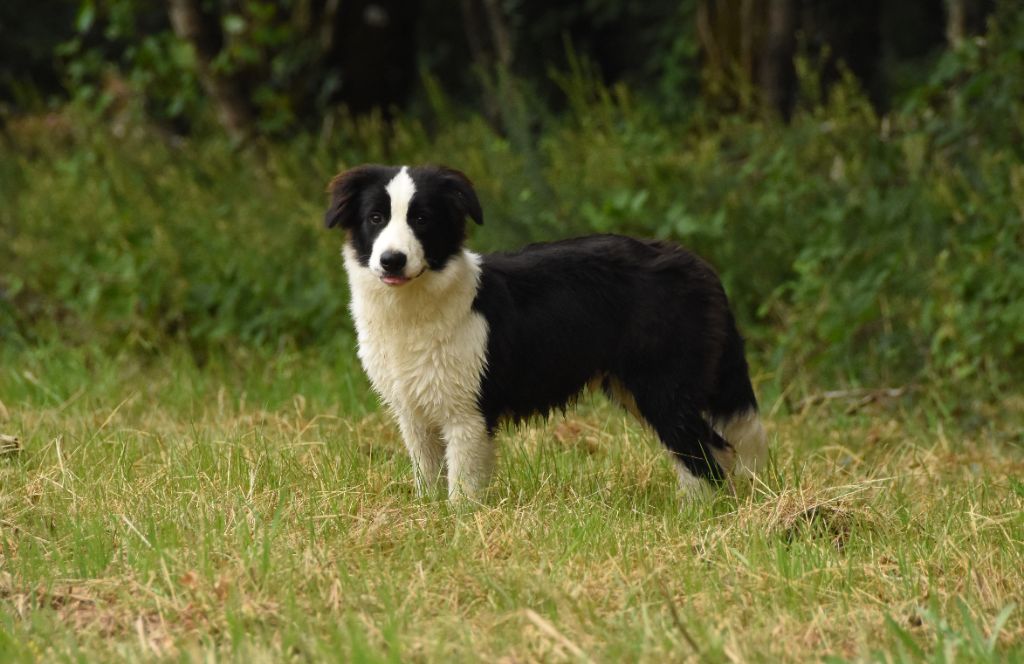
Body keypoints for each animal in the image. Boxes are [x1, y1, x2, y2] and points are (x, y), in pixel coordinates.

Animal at [323, 162, 765, 500]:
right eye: (376, 218)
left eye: (421, 218)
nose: (392, 260)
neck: (414, 309)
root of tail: (700, 266)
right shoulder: (413, 413)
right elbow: (428, 479)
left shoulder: (466, 413)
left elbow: (462, 489)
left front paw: (459, 528)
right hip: (638, 389)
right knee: (712, 449)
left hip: (662, 387)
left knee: (708, 453)